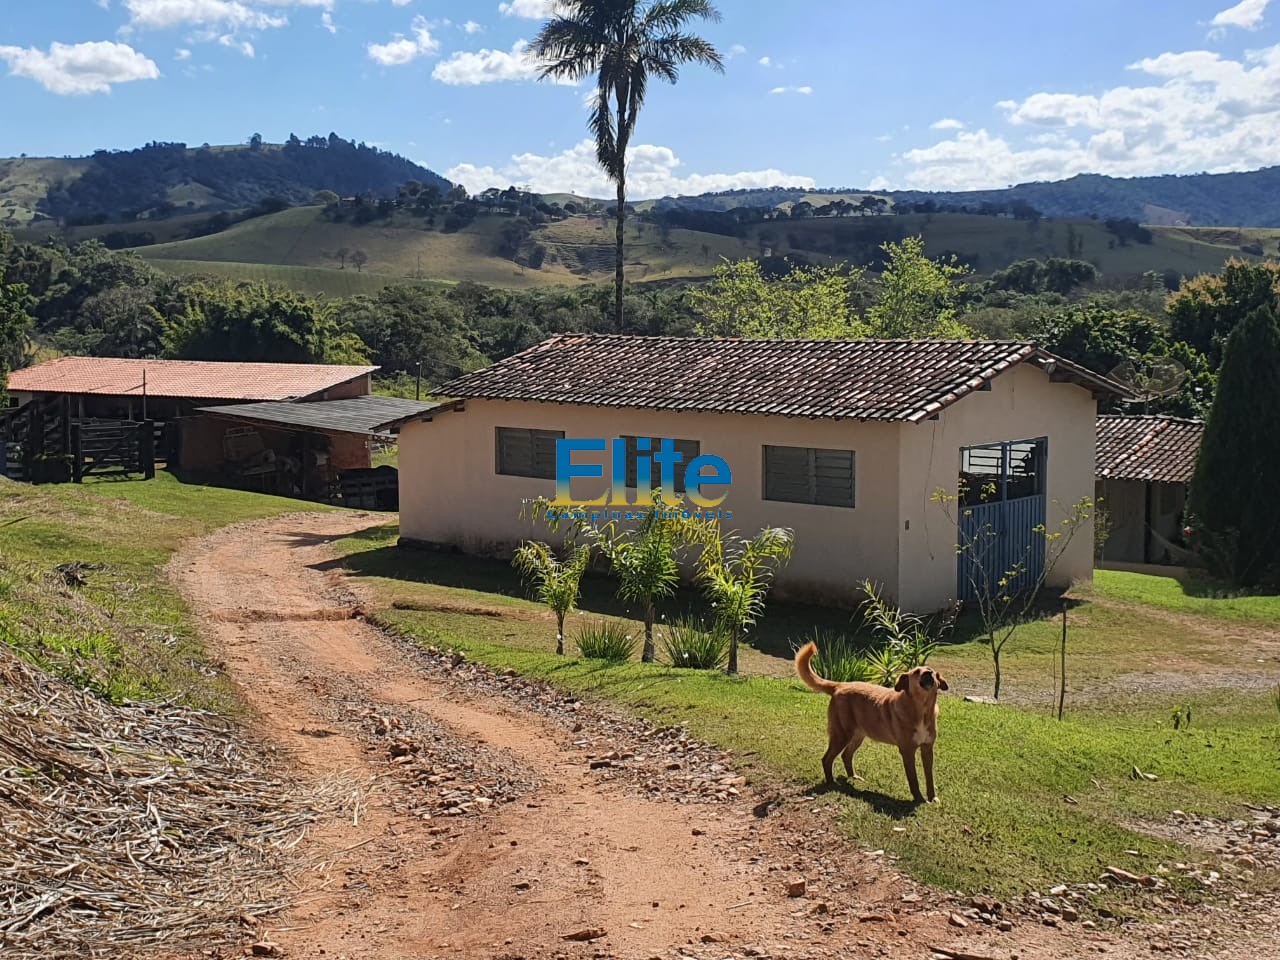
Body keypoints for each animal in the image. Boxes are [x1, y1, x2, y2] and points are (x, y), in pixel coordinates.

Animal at [793, 647, 947, 803]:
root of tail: (841, 685)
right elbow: (913, 780)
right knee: (826, 759)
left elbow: (929, 778)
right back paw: (832, 782)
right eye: (916, 672)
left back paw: (853, 777)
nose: (928, 673)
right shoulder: (907, 751)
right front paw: (920, 799)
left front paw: (933, 798)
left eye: (931, 670)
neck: (922, 710)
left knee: (846, 755)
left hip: (857, 736)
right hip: (841, 735)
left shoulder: (927, 749)